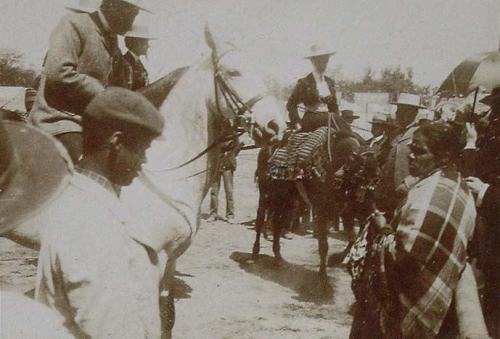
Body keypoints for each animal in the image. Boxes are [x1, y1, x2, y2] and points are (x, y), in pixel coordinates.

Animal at [252, 125, 362, 282]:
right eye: (348, 157)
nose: (340, 176)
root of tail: (266, 148)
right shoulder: (321, 211)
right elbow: (323, 245)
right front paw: (323, 275)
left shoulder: (345, 211)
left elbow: (352, 238)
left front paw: (335, 259)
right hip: (267, 195)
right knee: (261, 219)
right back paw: (255, 252)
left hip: (286, 201)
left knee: (278, 223)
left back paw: (278, 257)